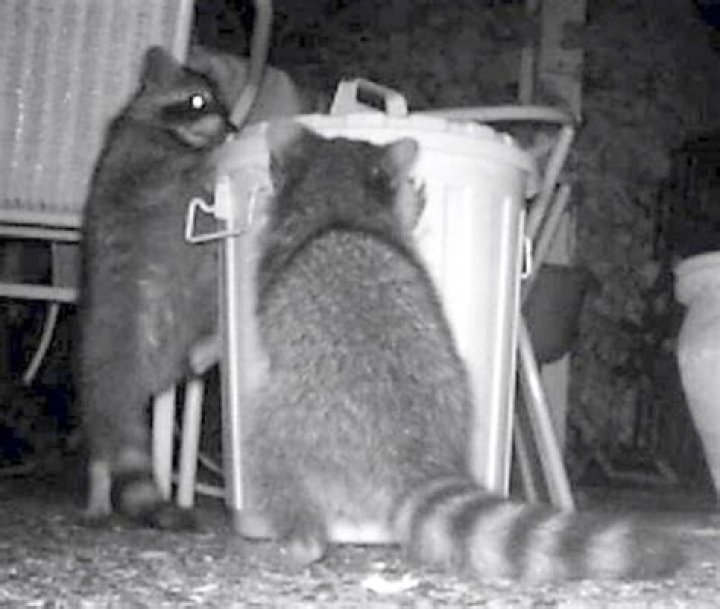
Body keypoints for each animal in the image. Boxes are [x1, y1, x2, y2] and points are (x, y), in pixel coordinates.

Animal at [78, 46, 236, 528]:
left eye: (225, 103)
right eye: (199, 100)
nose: (232, 127)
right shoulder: (136, 163)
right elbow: (172, 173)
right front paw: (214, 156)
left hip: (194, 306)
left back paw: (209, 349)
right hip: (112, 346)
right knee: (105, 438)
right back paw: (98, 485)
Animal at [239, 123, 683, 582]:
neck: (336, 196)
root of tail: (415, 451)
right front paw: (412, 203)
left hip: (292, 421)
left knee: (266, 446)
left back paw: (300, 540)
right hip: (455, 384)